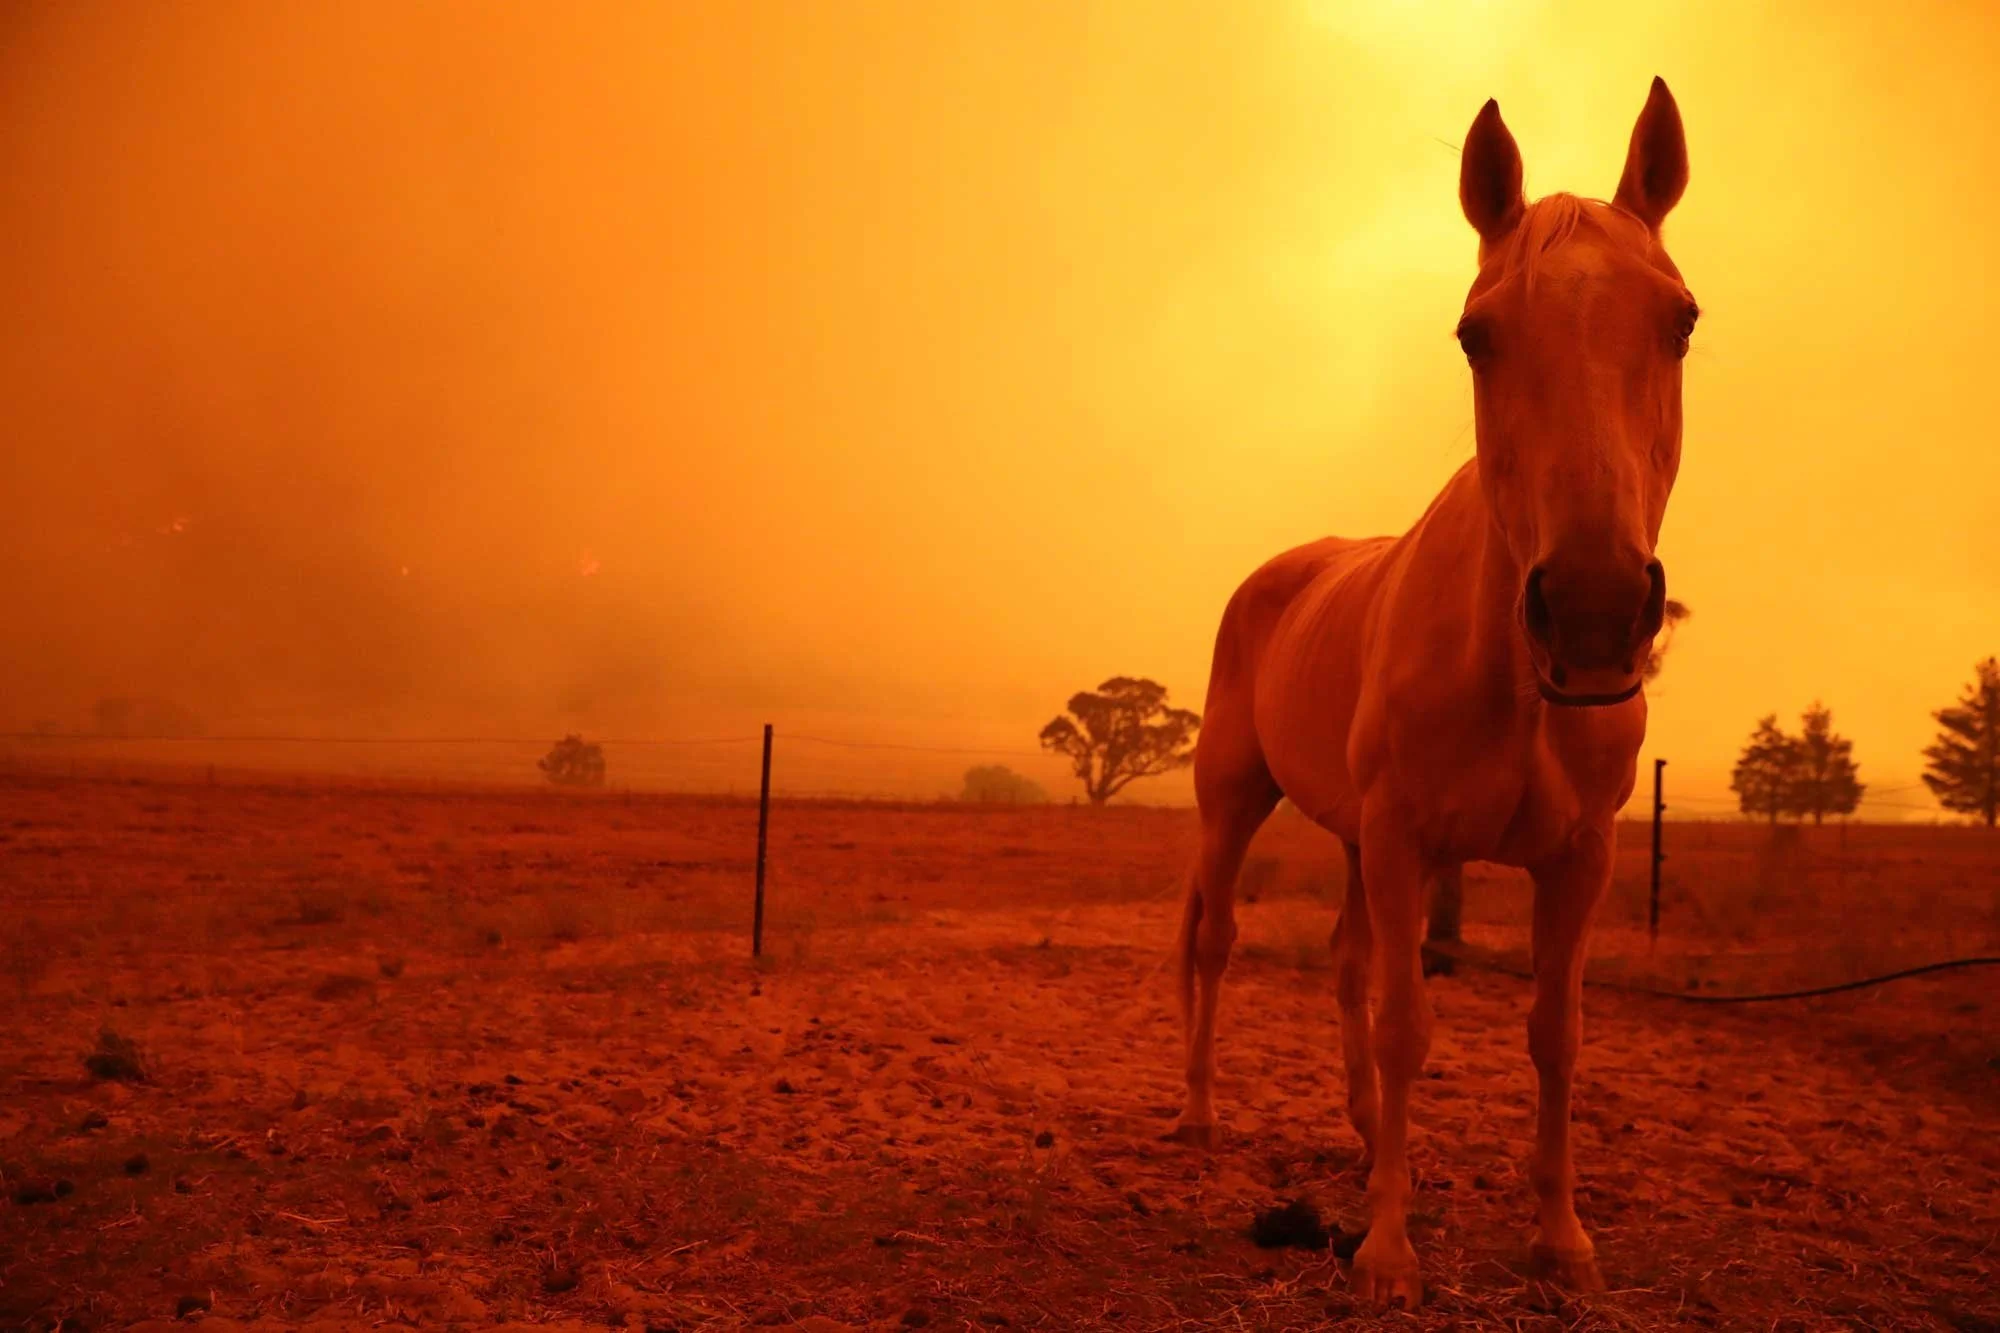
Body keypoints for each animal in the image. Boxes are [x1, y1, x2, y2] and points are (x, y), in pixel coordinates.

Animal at [1170, 79, 1696, 1310]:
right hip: (1236, 803)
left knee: (1343, 963)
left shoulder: (1576, 857)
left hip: (1356, 840)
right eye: (1474, 335)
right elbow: (1408, 1023)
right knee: (1217, 943)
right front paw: (1387, 1253)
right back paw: (1205, 1117)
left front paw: (1560, 1241)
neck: (1510, 678)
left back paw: (1368, 1140)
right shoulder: (1406, 837)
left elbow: (1554, 1032)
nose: (1594, 610)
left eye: (1682, 320)